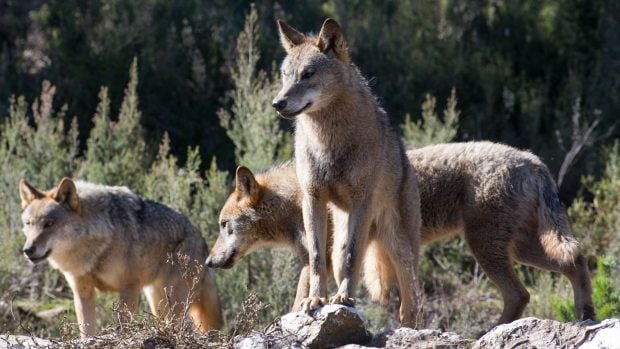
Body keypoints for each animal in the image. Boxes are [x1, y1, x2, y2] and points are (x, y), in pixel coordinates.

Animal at [18, 178, 222, 336]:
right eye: (28, 224)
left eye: (49, 224)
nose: (28, 250)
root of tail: (202, 242)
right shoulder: (82, 292)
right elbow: (87, 332)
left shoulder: (130, 288)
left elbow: (122, 327)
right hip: (158, 303)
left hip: (173, 304)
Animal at [272, 17, 422, 324]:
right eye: (285, 75)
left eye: (308, 74)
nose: (277, 103)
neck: (328, 142)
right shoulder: (312, 200)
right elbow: (316, 259)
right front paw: (315, 299)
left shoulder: (361, 201)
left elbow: (354, 257)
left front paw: (343, 298)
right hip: (343, 238)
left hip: (398, 246)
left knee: (410, 303)